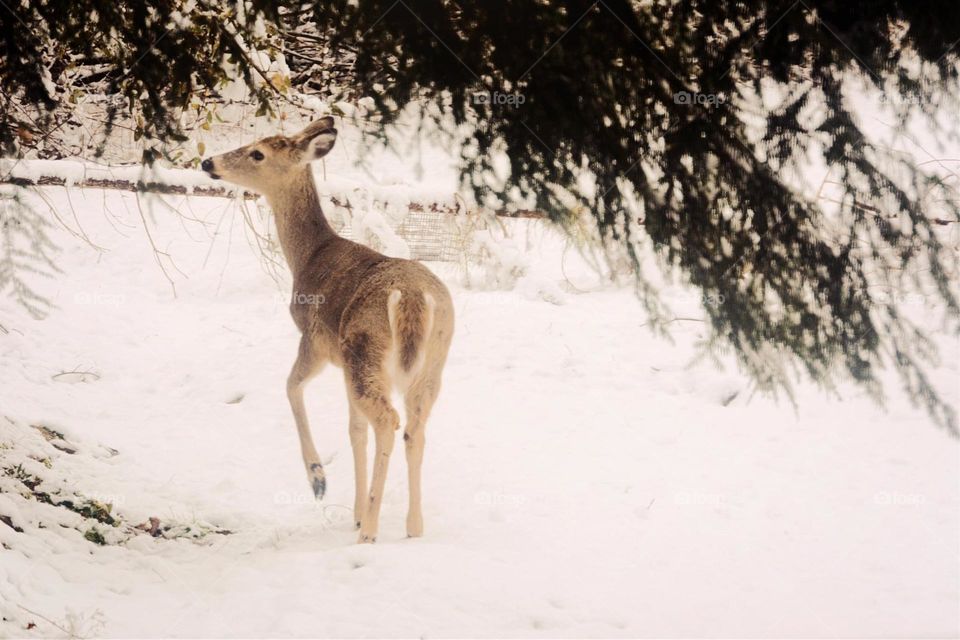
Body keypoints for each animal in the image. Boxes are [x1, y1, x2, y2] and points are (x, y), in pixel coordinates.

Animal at [201, 117, 454, 543]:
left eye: (258, 153)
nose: (208, 162)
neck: (308, 256)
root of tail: (412, 298)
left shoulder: (316, 341)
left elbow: (291, 387)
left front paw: (320, 482)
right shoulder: (341, 363)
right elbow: (354, 429)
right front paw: (354, 510)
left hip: (365, 350)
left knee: (388, 420)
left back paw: (370, 531)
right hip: (430, 366)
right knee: (414, 430)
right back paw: (413, 527)